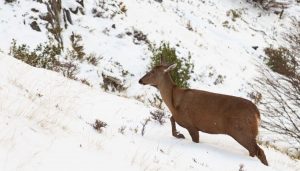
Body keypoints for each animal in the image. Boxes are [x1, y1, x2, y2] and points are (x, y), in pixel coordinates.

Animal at [139, 59, 268, 166]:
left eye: (152, 71)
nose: (140, 80)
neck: (174, 102)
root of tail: (257, 114)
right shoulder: (182, 119)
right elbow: (172, 119)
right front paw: (179, 134)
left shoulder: (191, 125)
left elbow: (194, 138)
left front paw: (181, 135)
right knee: (256, 151)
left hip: (241, 131)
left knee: (258, 151)